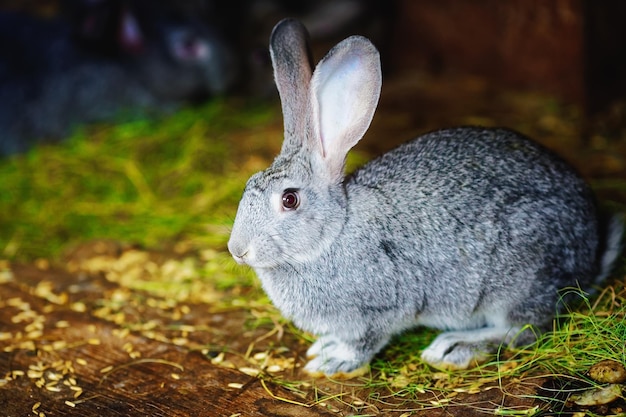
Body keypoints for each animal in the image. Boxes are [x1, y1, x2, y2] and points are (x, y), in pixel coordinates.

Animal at [225, 19, 620, 376]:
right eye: (248, 185)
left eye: (290, 200)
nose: (237, 250)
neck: (332, 235)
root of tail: (590, 254)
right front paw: (323, 347)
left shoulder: (382, 307)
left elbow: (365, 341)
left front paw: (332, 362)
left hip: (517, 280)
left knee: (523, 330)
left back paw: (455, 346)